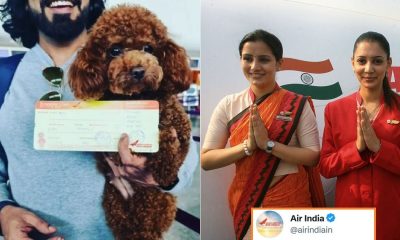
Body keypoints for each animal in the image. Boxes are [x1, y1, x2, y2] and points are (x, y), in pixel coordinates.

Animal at [68, 5, 191, 240]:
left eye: (148, 48)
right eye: (115, 50)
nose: (138, 71)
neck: (136, 98)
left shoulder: (182, 130)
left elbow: (171, 141)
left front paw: (166, 169)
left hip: (161, 203)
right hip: (114, 200)